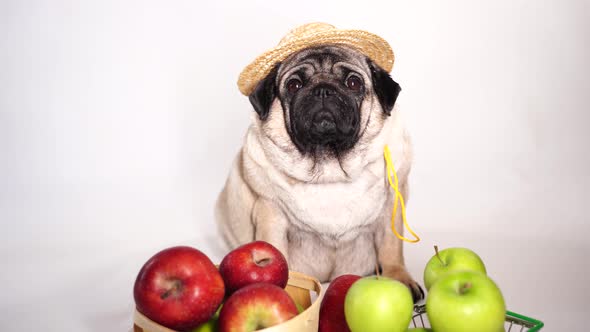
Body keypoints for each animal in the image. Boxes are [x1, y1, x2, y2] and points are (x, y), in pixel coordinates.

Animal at [217, 44, 426, 300]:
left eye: (353, 82)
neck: (329, 167)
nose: (323, 90)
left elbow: (391, 248)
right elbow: (275, 247)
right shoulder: (271, 213)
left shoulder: (390, 207)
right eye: (294, 85)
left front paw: (399, 277)